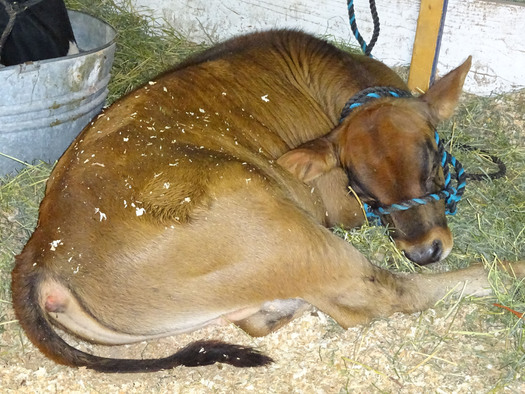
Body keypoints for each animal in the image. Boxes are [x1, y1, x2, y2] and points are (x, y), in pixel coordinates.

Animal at [10, 30, 520, 372]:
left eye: (432, 158)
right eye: (358, 184)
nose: (424, 251)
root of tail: (42, 246)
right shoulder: (339, 210)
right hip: (286, 231)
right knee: (383, 295)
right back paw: (509, 271)